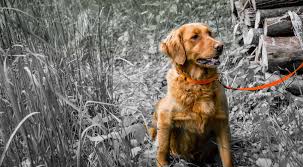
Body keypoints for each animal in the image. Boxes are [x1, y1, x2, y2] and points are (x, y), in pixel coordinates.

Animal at [151, 22, 234, 166]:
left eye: (210, 33)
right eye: (195, 37)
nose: (220, 46)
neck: (198, 83)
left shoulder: (222, 122)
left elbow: (227, 156)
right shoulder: (165, 117)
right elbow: (162, 148)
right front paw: (162, 163)